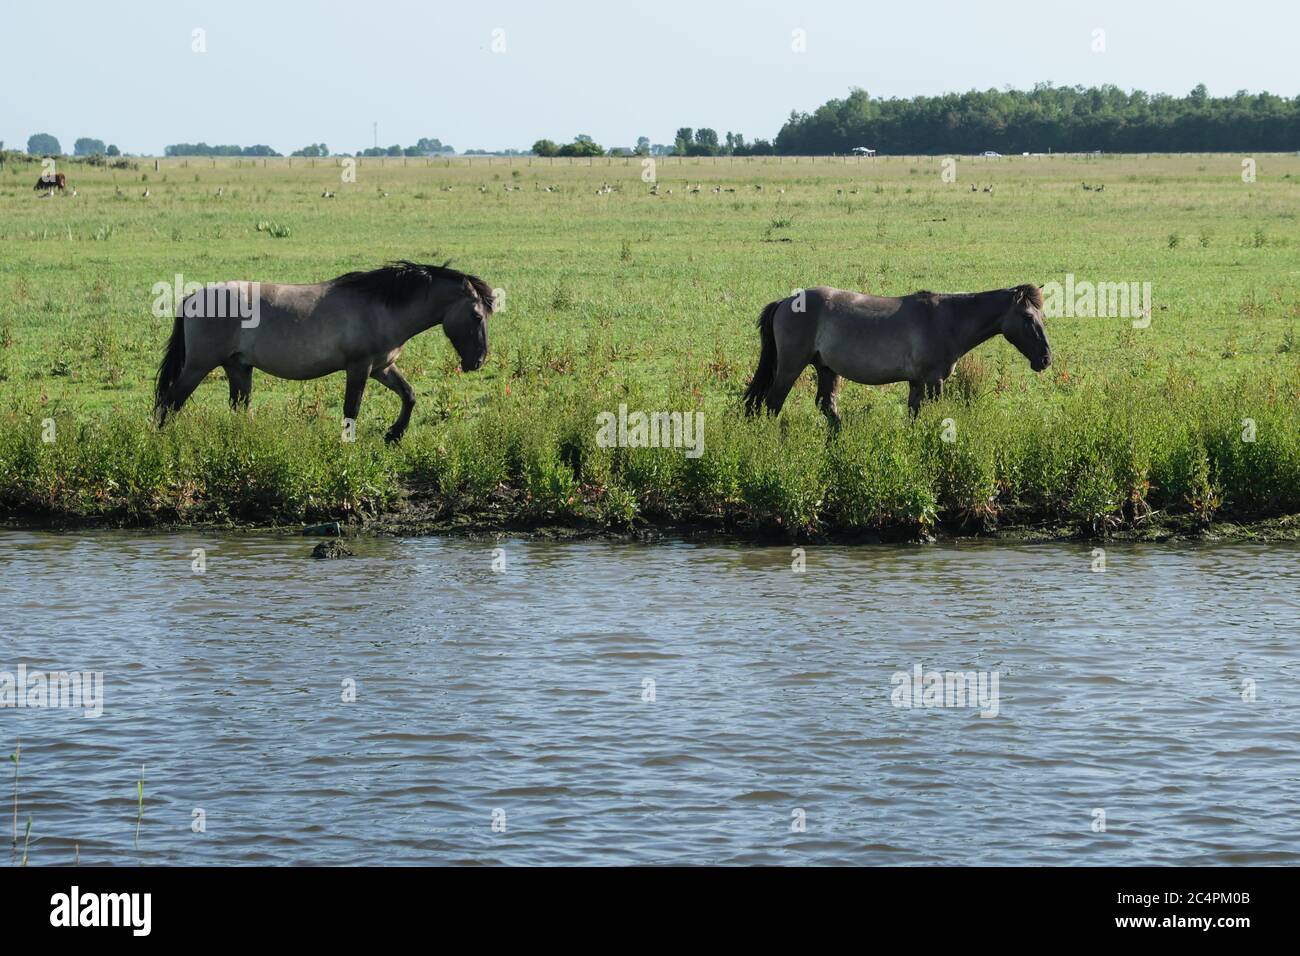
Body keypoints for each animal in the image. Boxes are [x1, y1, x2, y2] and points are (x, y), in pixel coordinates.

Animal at [152, 260, 493, 442]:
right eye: (477, 316)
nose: (477, 361)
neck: (381, 307)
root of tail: (192, 297)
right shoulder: (359, 368)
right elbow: (351, 409)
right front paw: (350, 444)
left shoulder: (382, 368)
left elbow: (409, 395)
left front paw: (394, 435)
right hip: (198, 366)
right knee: (169, 402)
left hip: (238, 368)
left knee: (239, 408)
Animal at [748, 282, 1050, 421]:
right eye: (1027, 317)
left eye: (1041, 316)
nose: (1045, 359)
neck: (947, 319)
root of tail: (786, 301)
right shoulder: (934, 381)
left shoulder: (917, 383)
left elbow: (913, 416)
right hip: (790, 367)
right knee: (772, 405)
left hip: (826, 369)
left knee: (827, 407)